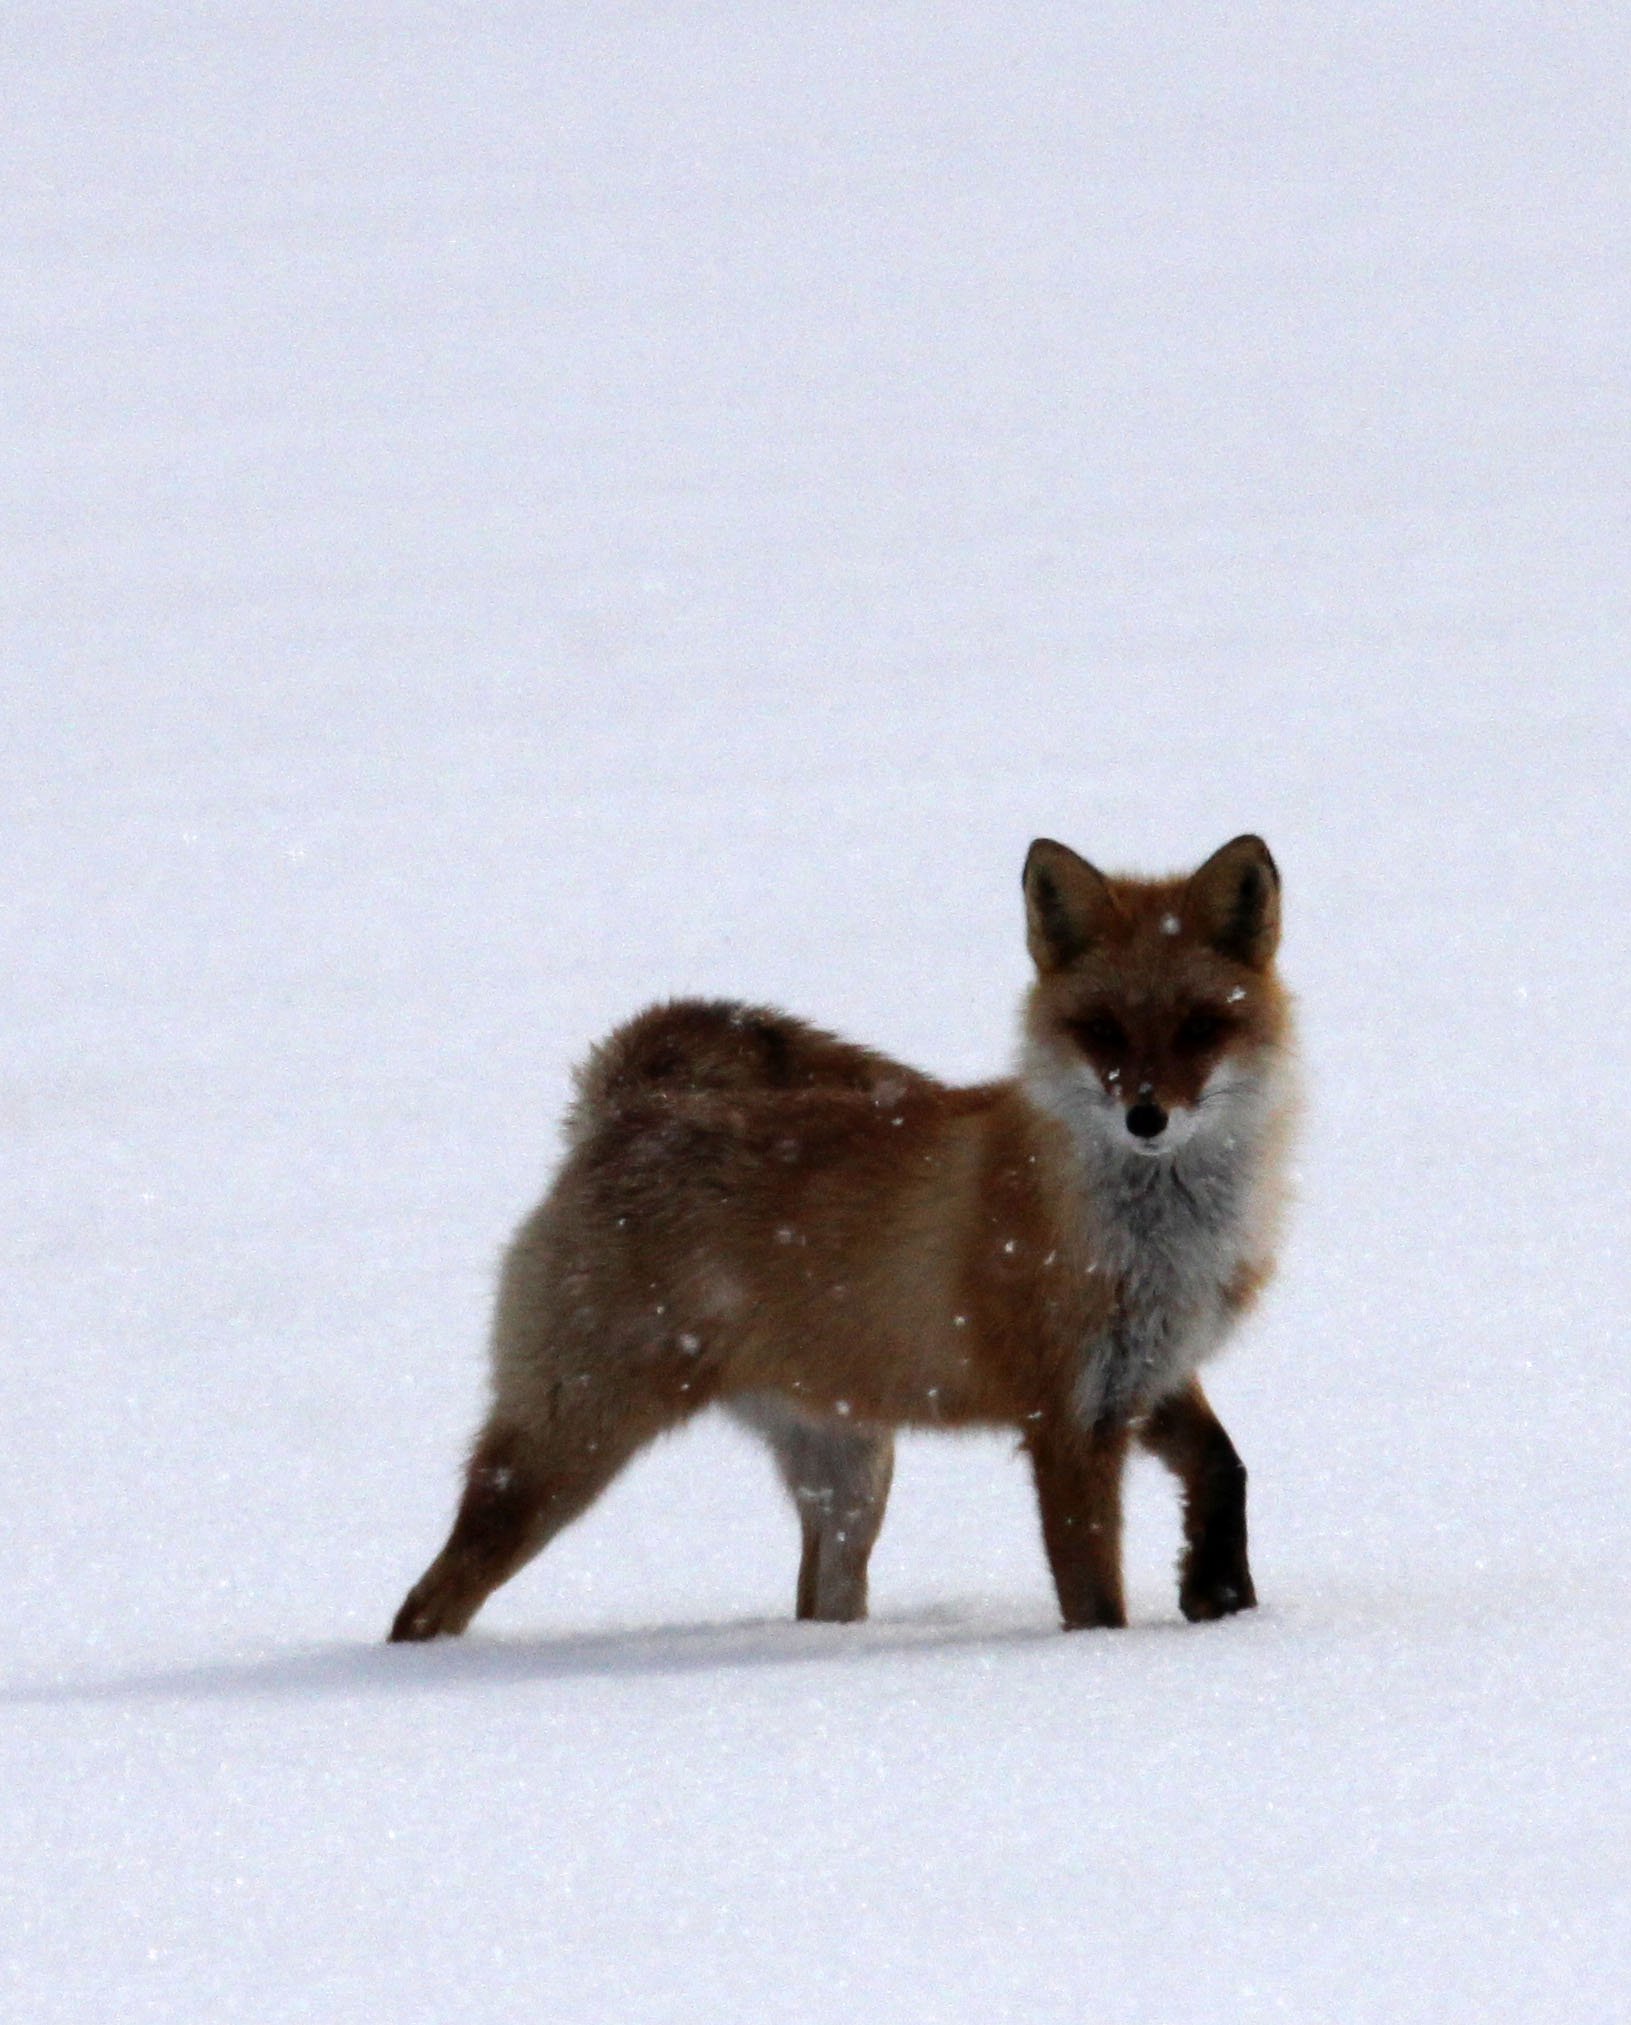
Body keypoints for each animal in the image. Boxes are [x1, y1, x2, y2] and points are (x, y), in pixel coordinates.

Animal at [390, 834, 1297, 1640]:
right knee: (427, 1602)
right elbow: (1095, 1598)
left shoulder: (1144, 1373)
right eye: (1101, 1028)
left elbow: (1224, 1464)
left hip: (850, 1476)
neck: (1159, 1241)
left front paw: (1219, 1591)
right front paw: (1116, 1656)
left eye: (1199, 1027)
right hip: (567, 1445)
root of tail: (635, 1109)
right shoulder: (1066, 1417)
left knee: (819, 1598)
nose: (1146, 1117)